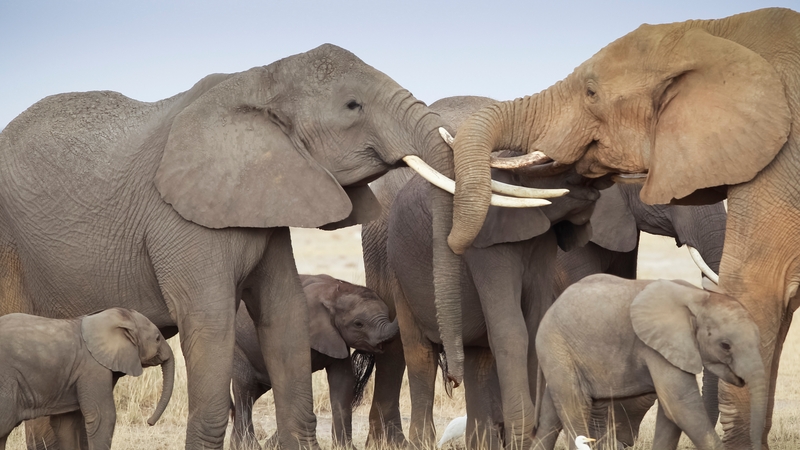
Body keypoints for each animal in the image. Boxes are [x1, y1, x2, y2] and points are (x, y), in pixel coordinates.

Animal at [231, 274, 398, 450]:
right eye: (358, 324)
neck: (336, 292)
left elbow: (342, 382)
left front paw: (345, 447)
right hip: (237, 347)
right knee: (245, 389)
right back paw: (247, 445)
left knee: (253, 392)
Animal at [533, 274, 764, 450]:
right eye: (725, 345)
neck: (698, 297)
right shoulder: (657, 347)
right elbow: (680, 404)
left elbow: (670, 412)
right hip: (555, 344)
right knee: (574, 405)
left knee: (551, 414)